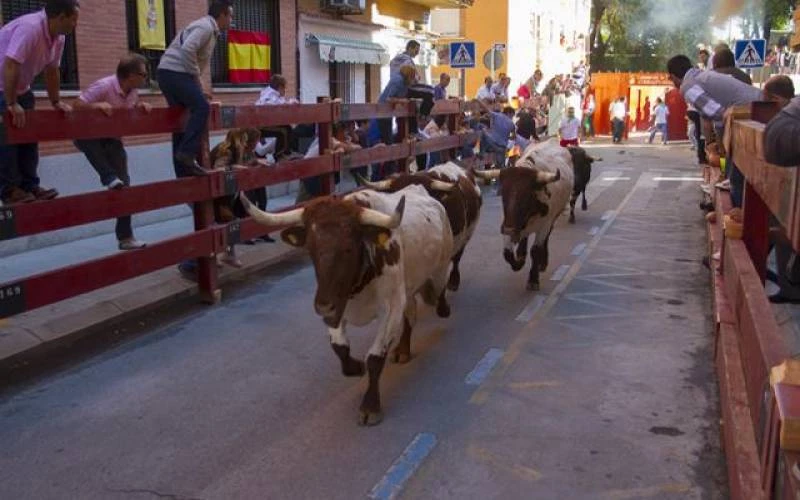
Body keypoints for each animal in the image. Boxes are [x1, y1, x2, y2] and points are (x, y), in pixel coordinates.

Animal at [238, 186, 454, 428]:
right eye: (311, 248)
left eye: (349, 248)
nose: (322, 306)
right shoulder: (336, 304)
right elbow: (340, 348)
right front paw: (356, 367)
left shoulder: (391, 308)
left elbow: (375, 358)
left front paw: (370, 406)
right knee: (411, 312)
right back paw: (402, 350)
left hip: (438, 268)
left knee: (440, 287)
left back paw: (443, 306)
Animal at [476, 139, 576, 292]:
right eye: (503, 194)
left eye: (526, 196)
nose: (509, 229)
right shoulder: (508, 222)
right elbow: (507, 253)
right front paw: (518, 262)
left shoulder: (544, 225)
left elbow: (536, 250)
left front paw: (533, 279)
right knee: (524, 237)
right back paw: (521, 254)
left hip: (552, 219)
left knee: (545, 239)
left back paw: (542, 262)